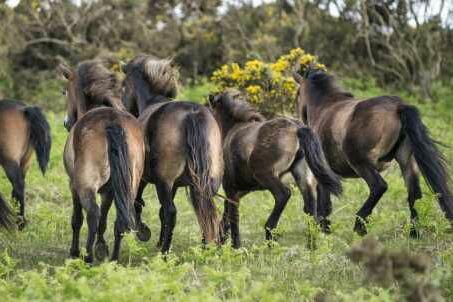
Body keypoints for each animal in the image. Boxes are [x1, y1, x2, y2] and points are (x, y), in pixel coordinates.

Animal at [57, 60, 144, 262]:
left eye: (65, 92)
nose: (66, 123)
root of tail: (112, 121)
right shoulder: (110, 190)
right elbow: (104, 219)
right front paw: (102, 247)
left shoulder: (73, 186)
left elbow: (78, 219)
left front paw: (75, 251)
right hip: (129, 187)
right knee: (119, 220)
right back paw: (113, 259)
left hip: (85, 185)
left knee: (92, 214)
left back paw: (87, 257)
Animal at [121, 54, 222, 252]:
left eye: (123, 85)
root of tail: (191, 115)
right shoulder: (175, 185)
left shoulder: (145, 177)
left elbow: (138, 203)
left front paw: (144, 232)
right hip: (207, 182)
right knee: (205, 209)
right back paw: (206, 247)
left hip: (164, 183)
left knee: (171, 211)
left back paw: (165, 252)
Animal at [207, 91, 340, 248]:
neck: (232, 130)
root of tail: (297, 129)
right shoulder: (240, 191)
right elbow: (226, 215)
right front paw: (220, 242)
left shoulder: (231, 188)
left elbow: (233, 216)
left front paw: (235, 246)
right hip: (303, 177)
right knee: (310, 209)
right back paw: (311, 247)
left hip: (266, 175)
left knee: (283, 194)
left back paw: (270, 233)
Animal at [294, 68, 452, 236]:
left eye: (297, 94)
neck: (326, 107)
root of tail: (398, 107)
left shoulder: (323, 172)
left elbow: (324, 201)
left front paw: (323, 228)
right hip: (406, 162)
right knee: (414, 194)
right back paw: (414, 233)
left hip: (361, 164)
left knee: (379, 187)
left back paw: (360, 225)